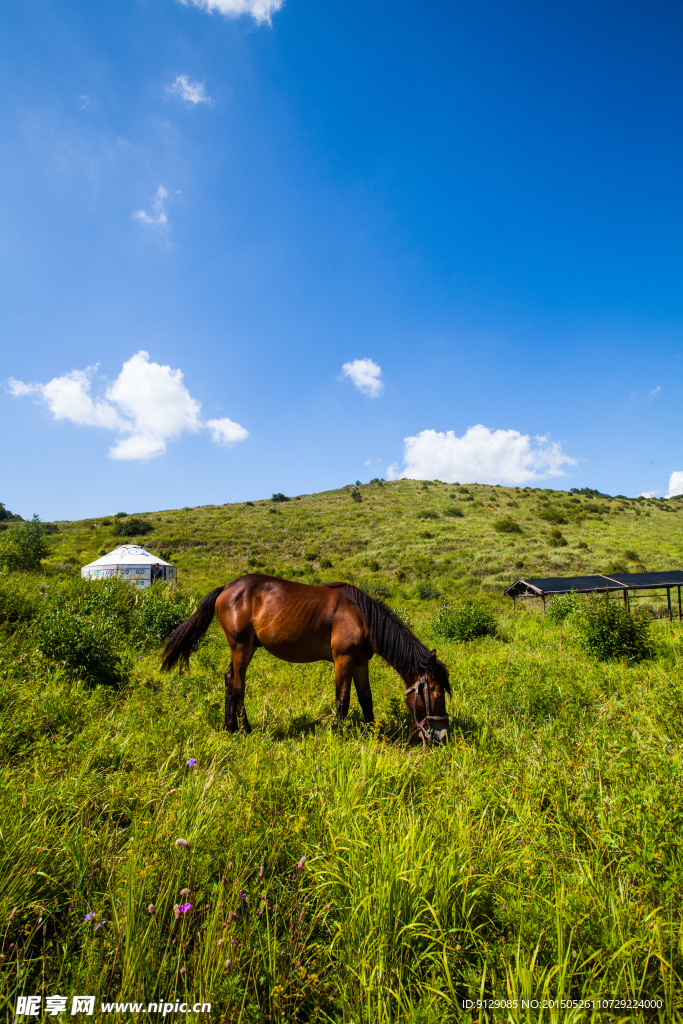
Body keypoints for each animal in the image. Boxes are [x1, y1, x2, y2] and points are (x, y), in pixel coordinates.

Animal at [162, 573, 450, 741]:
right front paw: (341, 737)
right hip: (241, 646)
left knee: (228, 678)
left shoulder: (360, 662)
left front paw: (372, 734)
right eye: (437, 694)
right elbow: (343, 700)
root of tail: (226, 588)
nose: (442, 734)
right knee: (237, 686)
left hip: (248, 647)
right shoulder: (343, 660)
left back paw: (230, 727)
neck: (362, 617)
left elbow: (366, 699)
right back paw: (245, 730)